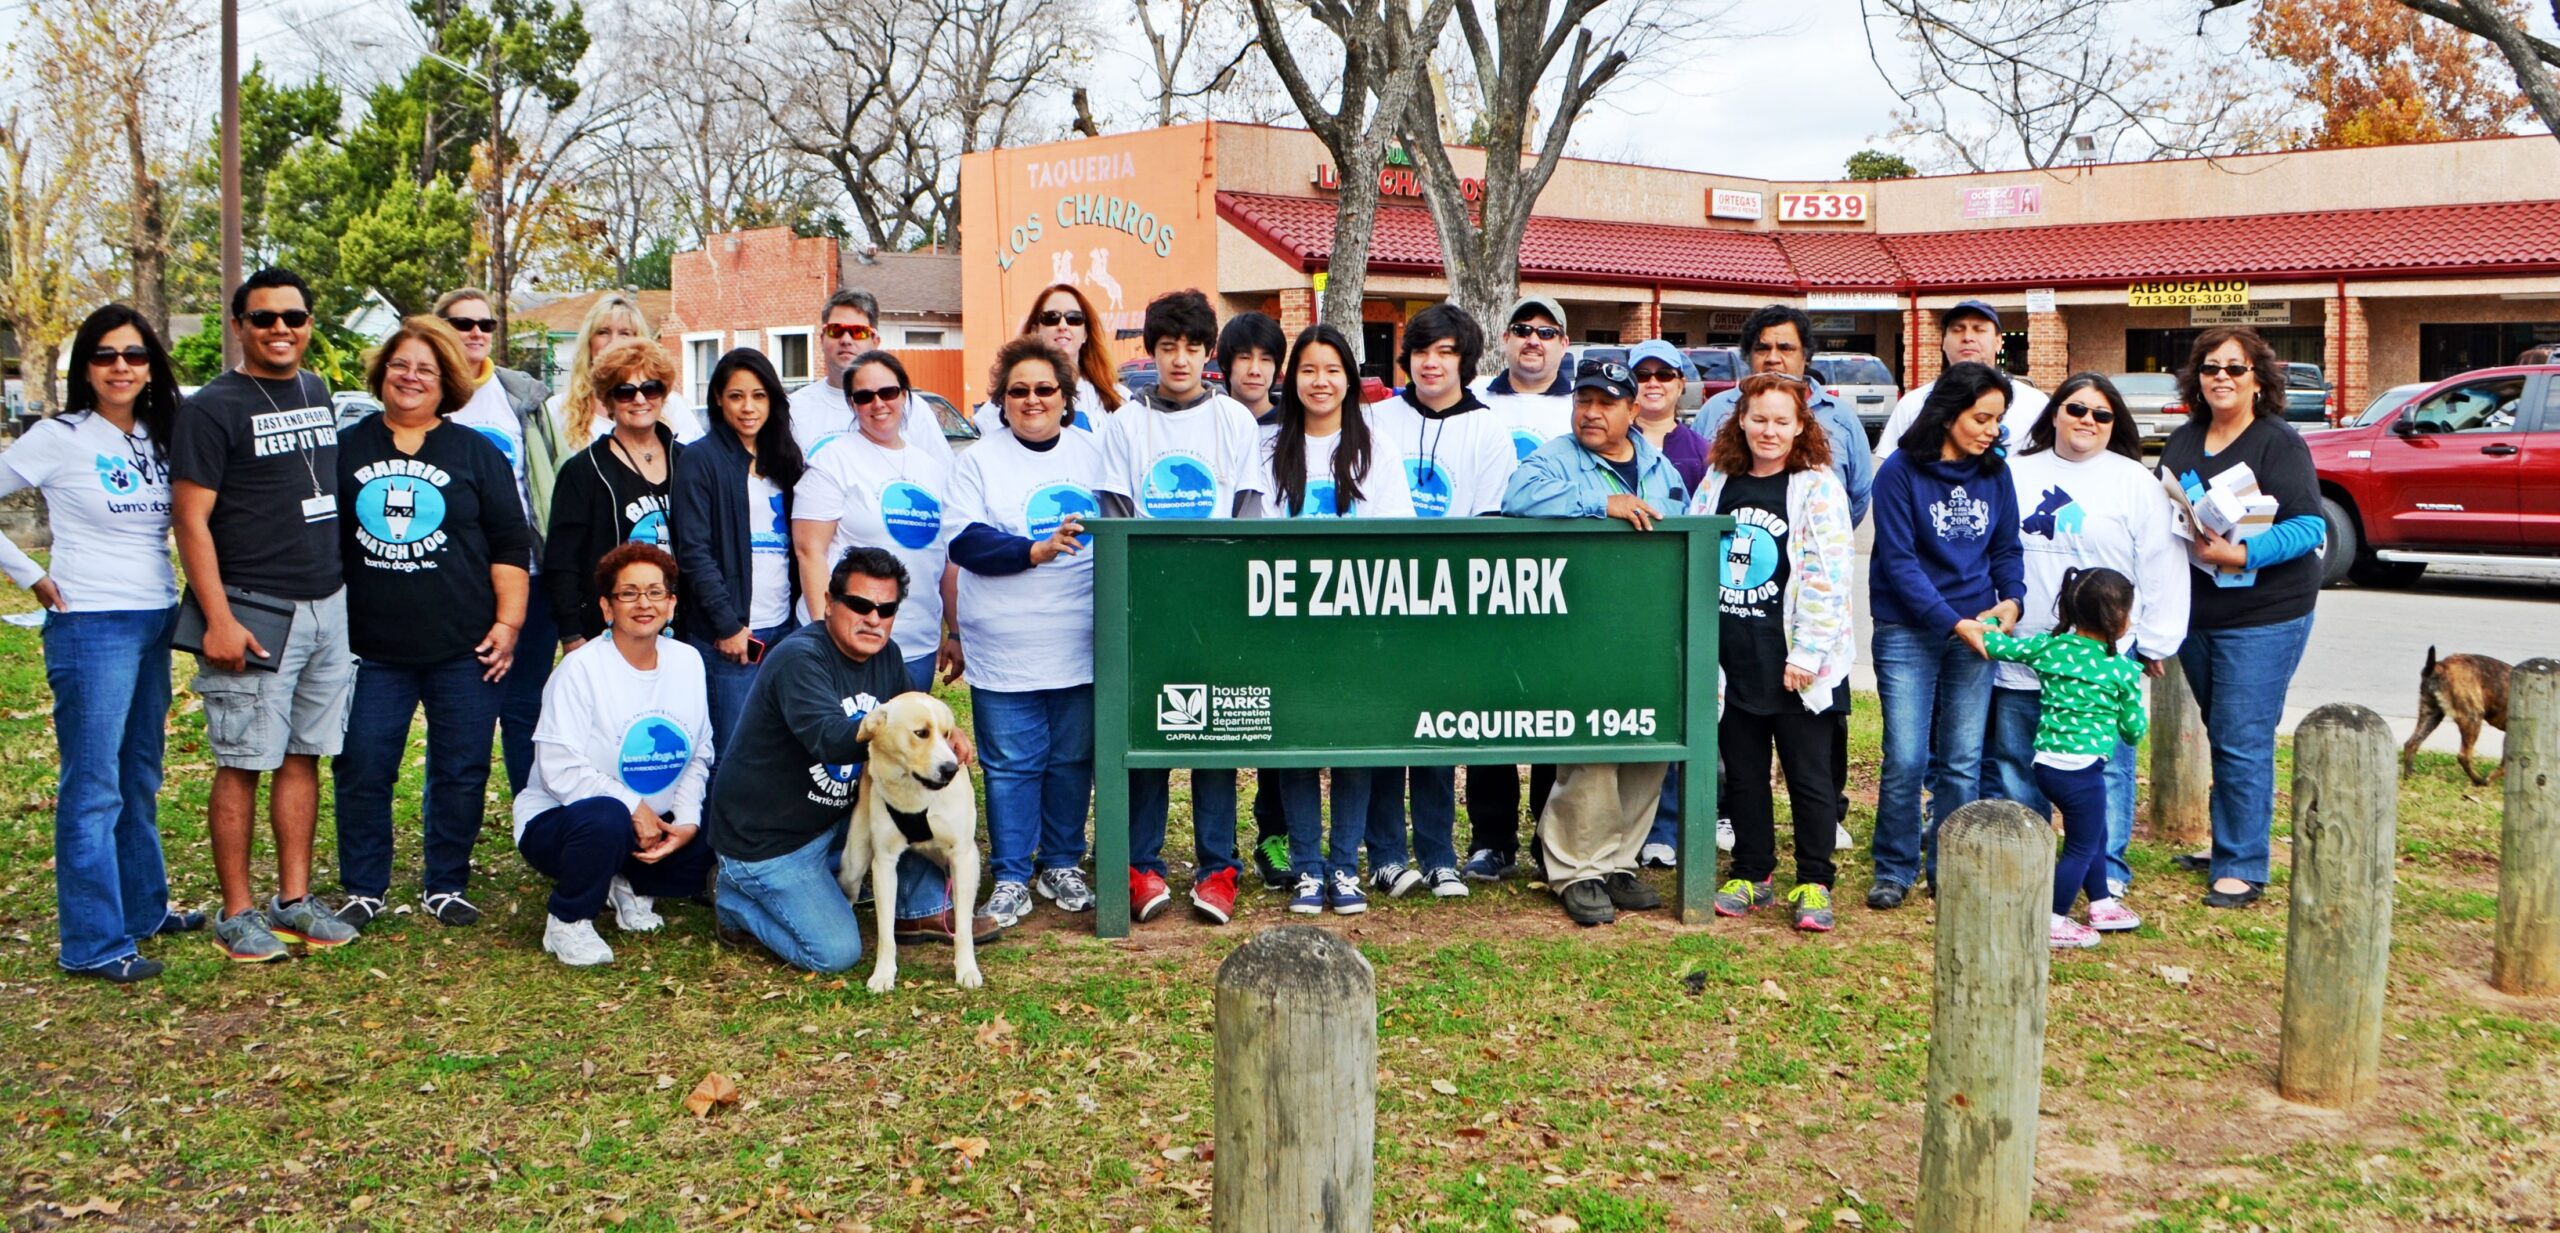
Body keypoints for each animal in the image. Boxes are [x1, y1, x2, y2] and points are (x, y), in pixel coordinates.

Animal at [838, 692, 983, 992]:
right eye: (921, 733)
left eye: (947, 734)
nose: (951, 769)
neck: (916, 794)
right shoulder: (884, 864)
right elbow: (886, 934)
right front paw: (883, 974)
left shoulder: (962, 856)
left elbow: (963, 929)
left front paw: (966, 969)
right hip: (852, 866)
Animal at [2402, 646, 2511, 786]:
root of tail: (2439, 666)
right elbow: (2504, 766)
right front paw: (2490, 778)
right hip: (2472, 717)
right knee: (2464, 756)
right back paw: (2479, 781)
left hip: (2430, 714)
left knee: (2411, 744)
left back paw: (2409, 777)